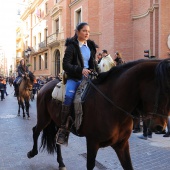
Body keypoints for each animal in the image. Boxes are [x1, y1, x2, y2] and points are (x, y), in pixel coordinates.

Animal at [27, 58, 169, 169]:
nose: (160, 127)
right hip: (44, 118)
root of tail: (45, 86)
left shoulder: (121, 144)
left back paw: (61, 162)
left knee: (56, 139)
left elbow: (128, 166)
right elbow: (90, 164)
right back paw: (32, 152)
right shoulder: (92, 142)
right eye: (162, 91)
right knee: (35, 130)